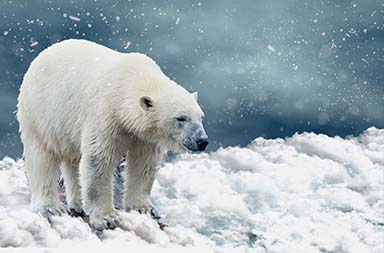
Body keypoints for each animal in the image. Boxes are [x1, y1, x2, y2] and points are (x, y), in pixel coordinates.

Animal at [17, 38, 208, 230]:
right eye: (180, 118)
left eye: (201, 117)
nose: (202, 141)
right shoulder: (105, 114)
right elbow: (98, 160)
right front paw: (106, 218)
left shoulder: (144, 136)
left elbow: (143, 164)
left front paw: (144, 208)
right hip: (41, 114)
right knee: (42, 159)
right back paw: (51, 207)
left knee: (73, 160)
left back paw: (78, 204)